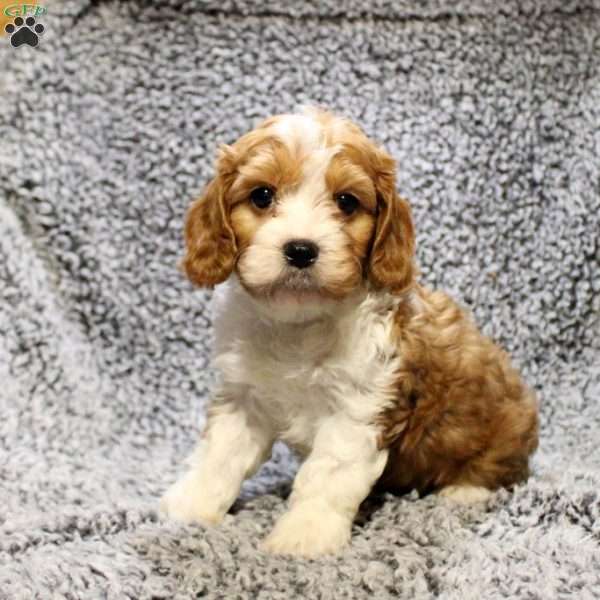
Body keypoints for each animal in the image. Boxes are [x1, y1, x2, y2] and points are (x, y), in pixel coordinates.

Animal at [161, 108, 540, 556]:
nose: (301, 250)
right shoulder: (243, 396)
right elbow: (220, 455)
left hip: (501, 426)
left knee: (501, 469)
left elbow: (327, 475)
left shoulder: (360, 407)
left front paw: (304, 534)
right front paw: (189, 505)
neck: (299, 325)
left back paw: (464, 492)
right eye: (262, 196)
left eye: (346, 201)